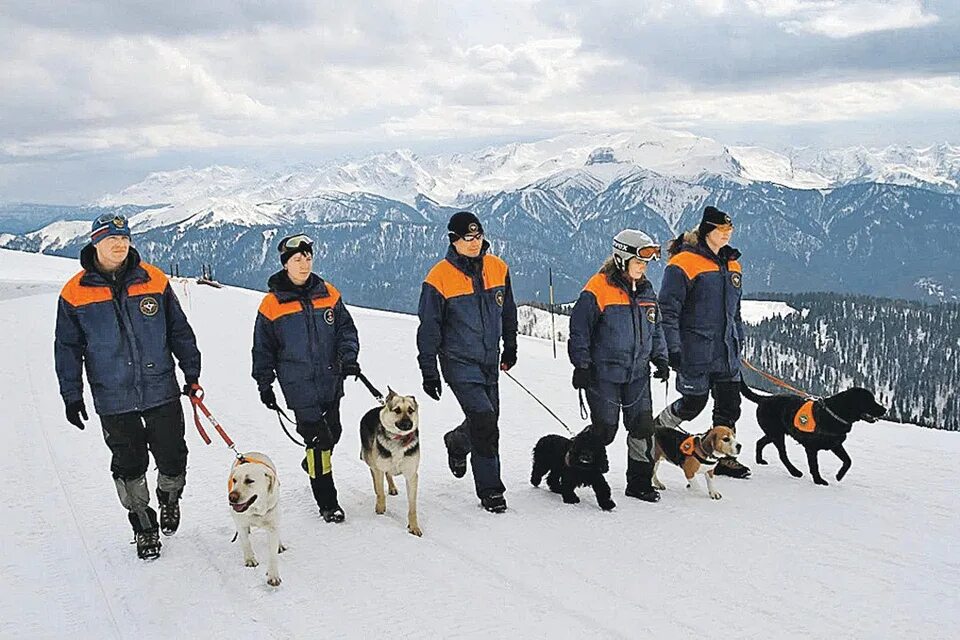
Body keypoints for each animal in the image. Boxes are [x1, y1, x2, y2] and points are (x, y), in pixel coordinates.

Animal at [358, 390, 422, 536]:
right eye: (397, 410)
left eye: (411, 410)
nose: (408, 424)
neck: (399, 439)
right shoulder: (379, 467)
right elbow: (381, 491)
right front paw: (380, 508)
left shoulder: (411, 476)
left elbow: (412, 507)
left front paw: (414, 526)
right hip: (370, 457)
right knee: (374, 472)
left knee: (388, 474)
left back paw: (392, 487)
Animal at [740, 380, 888, 484]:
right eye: (869, 400)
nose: (885, 409)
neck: (834, 413)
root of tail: (764, 399)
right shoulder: (811, 448)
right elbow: (815, 466)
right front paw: (819, 480)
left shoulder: (836, 444)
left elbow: (848, 461)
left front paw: (839, 476)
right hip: (776, 434)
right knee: (782, 455)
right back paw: (795, 472)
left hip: (774, 432)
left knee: (760, 442)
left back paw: (760, 460)